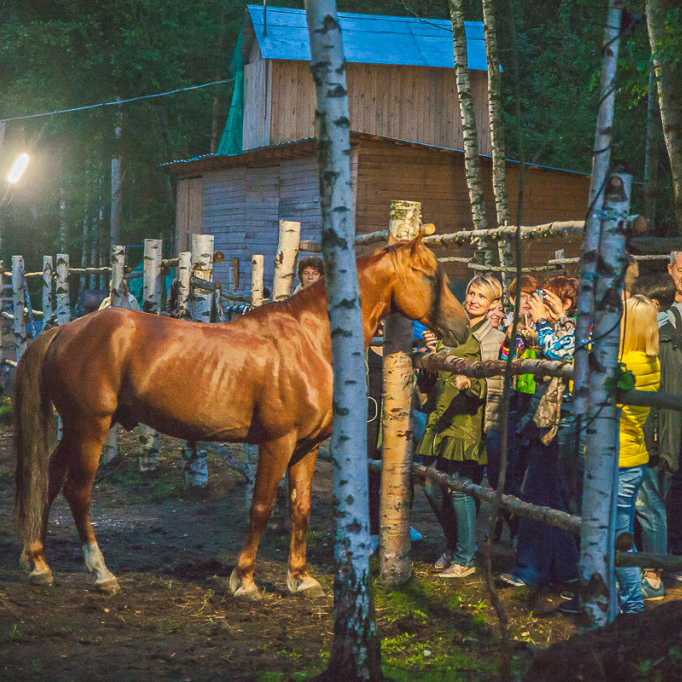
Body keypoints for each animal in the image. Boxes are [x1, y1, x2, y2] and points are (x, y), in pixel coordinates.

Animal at [14, 234, 468, 596]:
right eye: (428, 274)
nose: (462, 326)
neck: (312, 339)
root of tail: (63, 331)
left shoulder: (305, 448)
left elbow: (300, 508)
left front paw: (300, 579)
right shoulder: (277, 442)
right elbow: (262, 506)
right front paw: (244, 580)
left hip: (76, 429)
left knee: (49, 481)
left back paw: (37, 563)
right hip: (90, 427)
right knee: (77, 491)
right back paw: (101, 573)